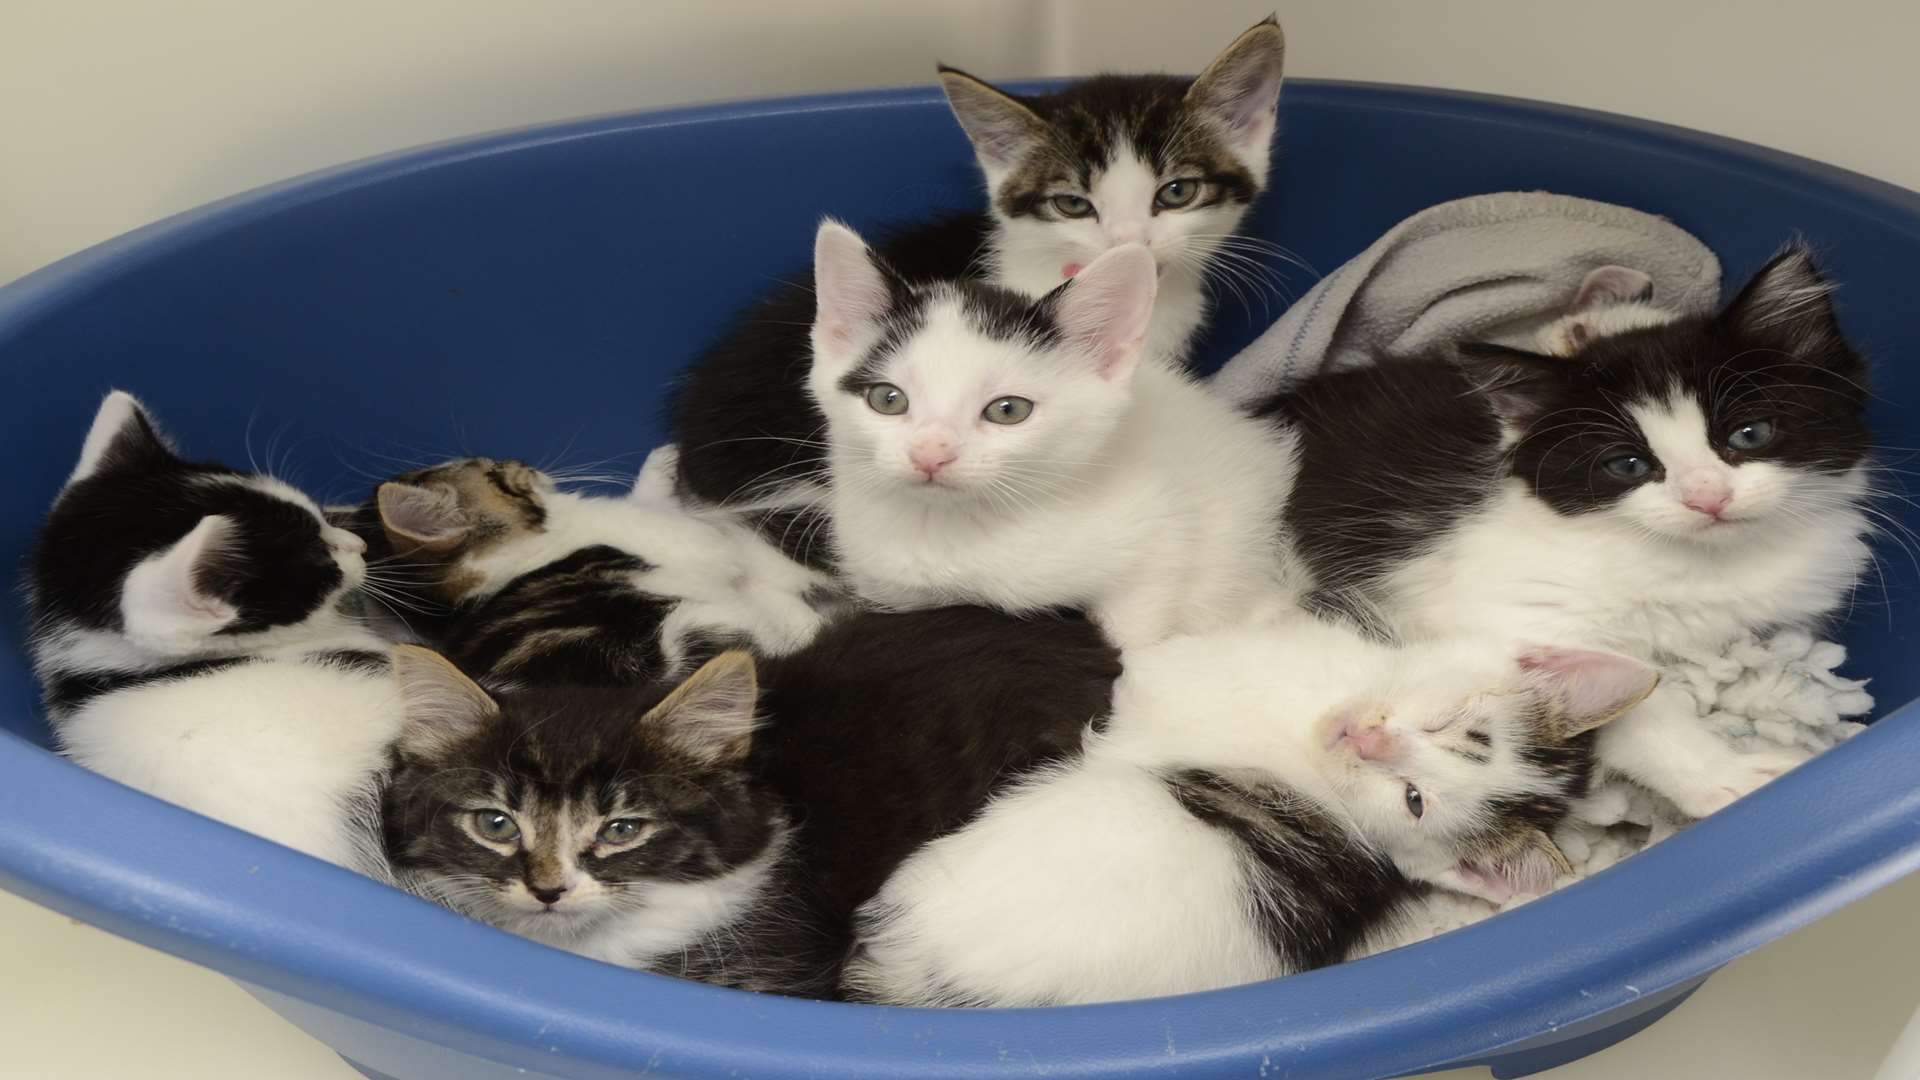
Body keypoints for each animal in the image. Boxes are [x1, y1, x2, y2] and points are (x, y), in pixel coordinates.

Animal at [810, 215, 1305, 641]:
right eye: (887, 399)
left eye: (1008, 410)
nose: (931, 452)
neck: (961, 532)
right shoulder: (892, 588)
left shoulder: (1159, 543)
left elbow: (1137, 623)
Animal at [1267, 245, 1866, 814]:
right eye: (1627, 465)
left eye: (1750, 433)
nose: (1706, 497)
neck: (1706, 562)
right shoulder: (1496, 614)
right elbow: (1634, 705)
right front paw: (1726, 778)